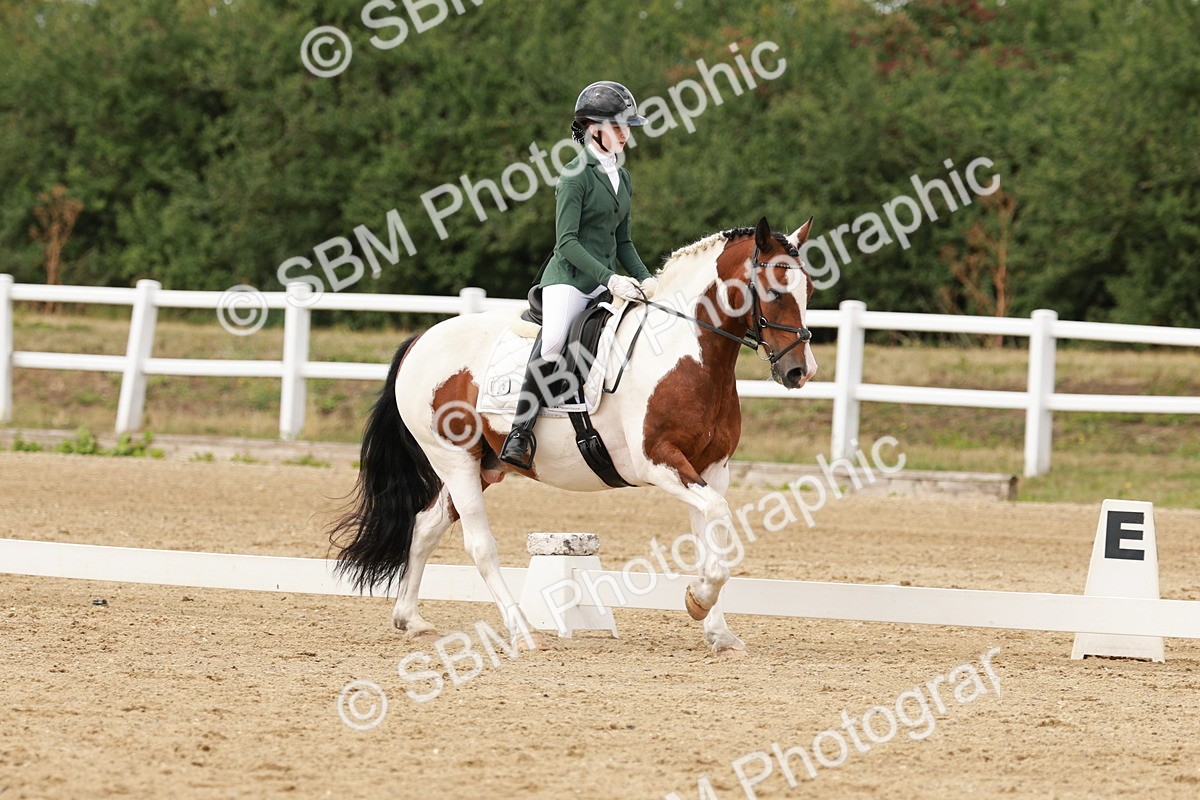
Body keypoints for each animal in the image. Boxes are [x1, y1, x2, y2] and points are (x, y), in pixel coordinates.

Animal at [329, 216, 817, 657]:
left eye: (809, 290)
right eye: (774, 290)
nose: (801, 371)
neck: (691, 355)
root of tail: (421, 339)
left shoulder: (711, 469)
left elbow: (711, 537)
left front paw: (717, 631)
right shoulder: (659, 462)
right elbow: (716, 519)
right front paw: (698, 601)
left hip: (482, 465)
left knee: (425, 525)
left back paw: (409, 619)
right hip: (452, 458)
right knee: (480, 545)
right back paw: (523, 633)